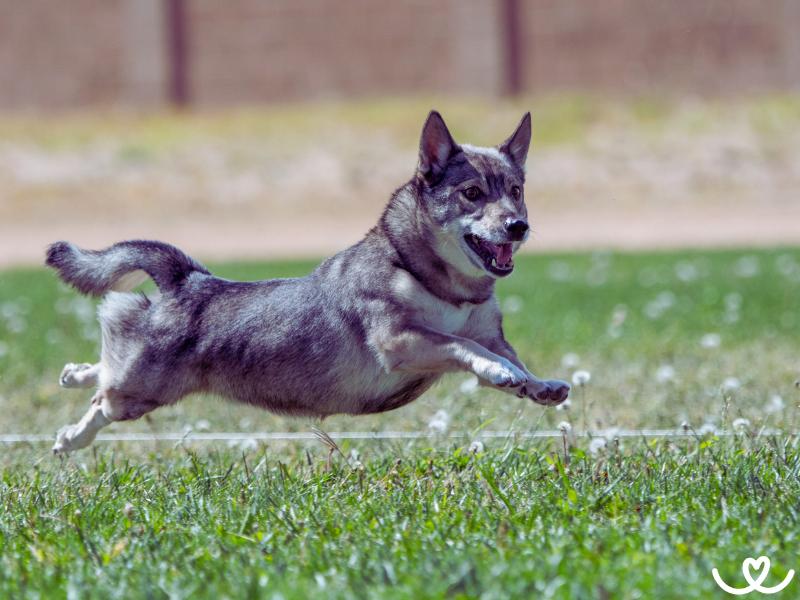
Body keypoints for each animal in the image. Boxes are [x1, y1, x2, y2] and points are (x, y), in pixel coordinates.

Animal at [47, 110, 568, 452]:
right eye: (472, 193)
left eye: (516, 191)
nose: (518, 226)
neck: (438, 282)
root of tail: (188, 280)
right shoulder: (401, 341)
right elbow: (467, 348)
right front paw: (500, 373)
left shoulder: (488, 334)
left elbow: (508, 357)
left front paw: (536, 384)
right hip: (140, 390)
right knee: (104, 397)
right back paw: (70, 437)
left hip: (139, 380)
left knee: (104, 367)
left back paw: (73, 374)